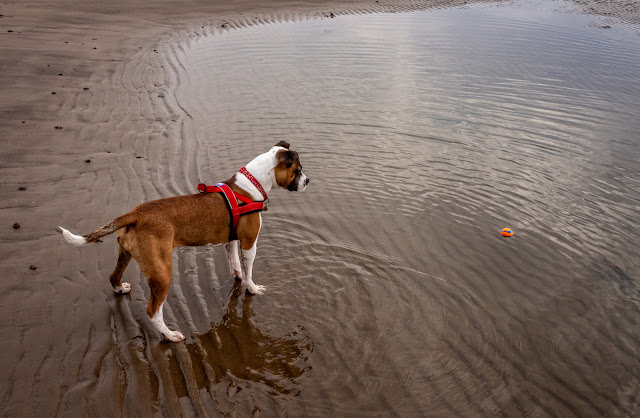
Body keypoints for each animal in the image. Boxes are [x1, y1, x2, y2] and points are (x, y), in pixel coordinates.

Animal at [58, 142, 308, 342]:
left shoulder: (232, 241)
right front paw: (252, 288)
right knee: (153, 311)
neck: (251, 184)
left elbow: (235, 262)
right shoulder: (249, 243)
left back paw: (120, 289)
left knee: (113, 276)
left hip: (125, 254)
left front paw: (238, 276)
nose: (308, 180)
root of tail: (134, 214)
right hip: (162, 272)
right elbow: (249, 270)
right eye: (298, 171)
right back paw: (169, 335)